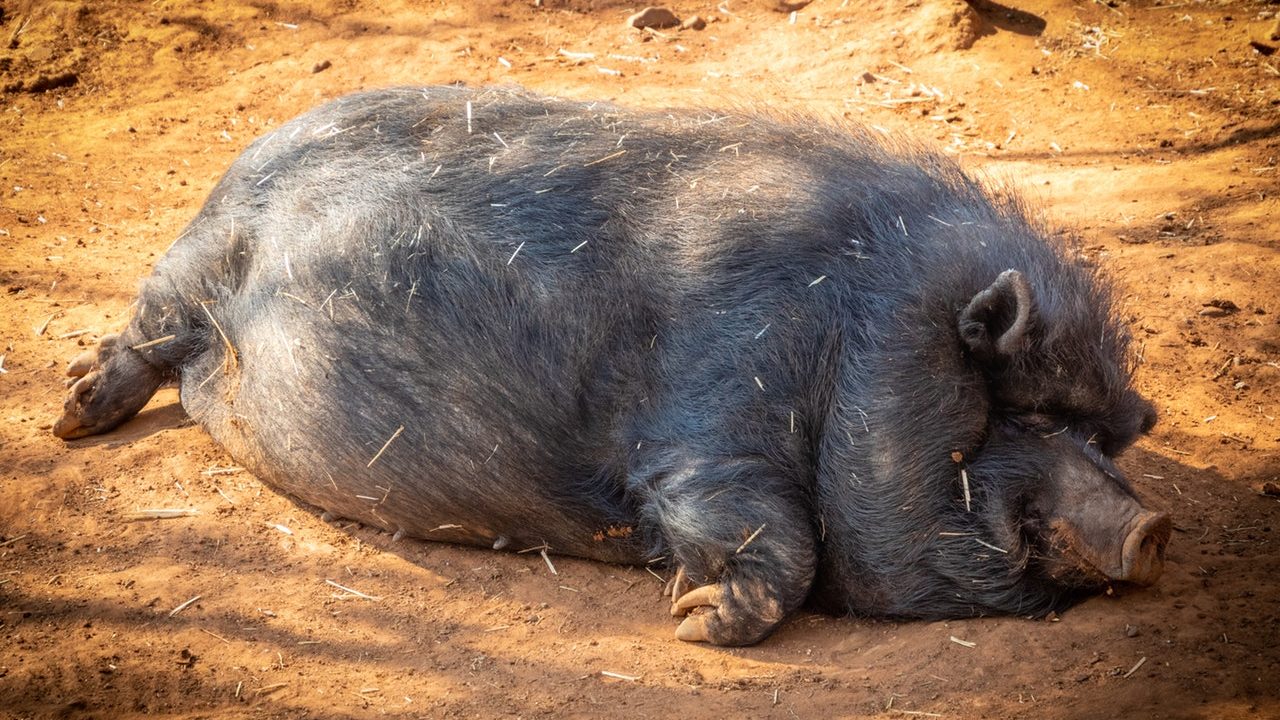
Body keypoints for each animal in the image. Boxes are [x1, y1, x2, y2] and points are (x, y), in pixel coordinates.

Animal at [52, 85, 1172, 645]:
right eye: (1028, 412)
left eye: (1105, 433)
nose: (1153, 528)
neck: (855, 340)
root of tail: (242, 159)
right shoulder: (707, 422)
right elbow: (772, 534)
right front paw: (689, 623)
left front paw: (687, 613)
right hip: (190, 263)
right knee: (144, 333)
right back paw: (69, 418)